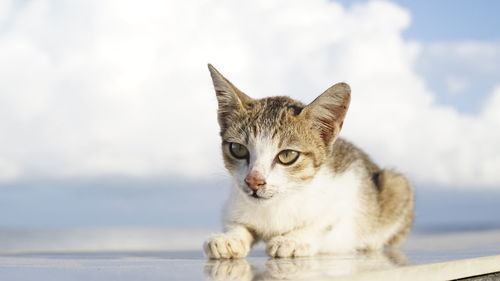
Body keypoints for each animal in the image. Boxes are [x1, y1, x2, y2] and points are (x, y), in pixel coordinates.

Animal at [203, 64, 414, 258]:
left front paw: (292, 239)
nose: (253, 181)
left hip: (396, 183)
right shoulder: (235, 199)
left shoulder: (348, 184)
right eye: (238, 149)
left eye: (287, 155)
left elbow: (323, 222)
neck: (276, 204)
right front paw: (230, 237)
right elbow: (237, 222)